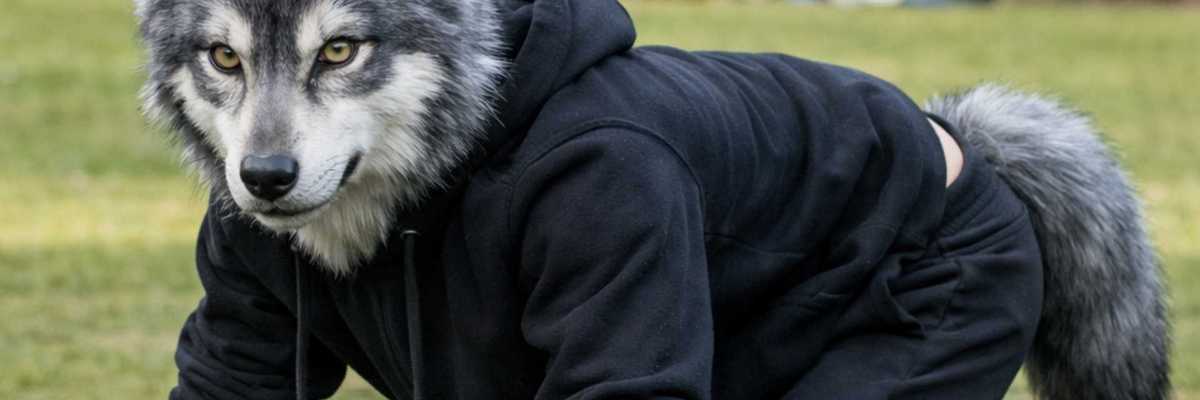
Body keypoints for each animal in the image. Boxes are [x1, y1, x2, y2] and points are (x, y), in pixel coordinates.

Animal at [136, 0, 1168, 399]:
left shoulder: (613, 188)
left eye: (340, 50)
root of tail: (958, 138)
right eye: (224, 57)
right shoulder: (241, 317)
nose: (264, 177)